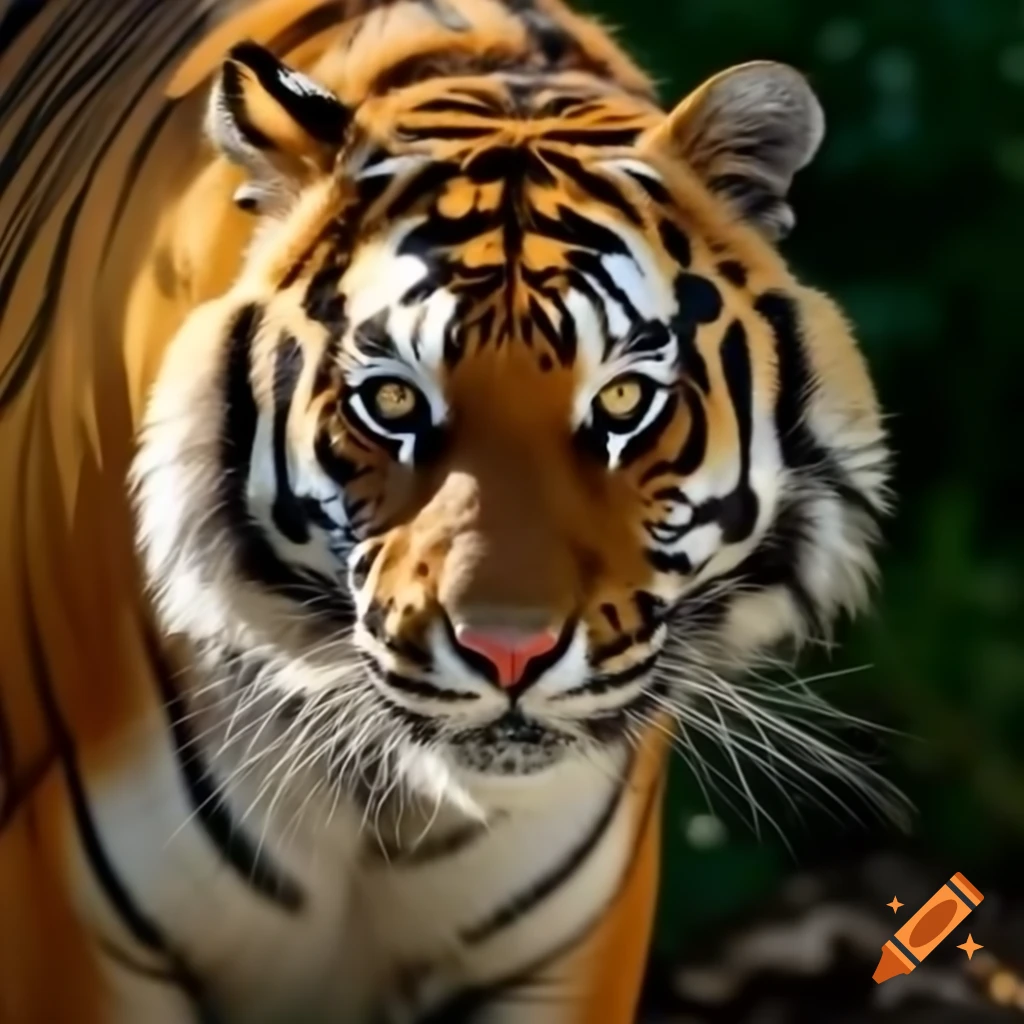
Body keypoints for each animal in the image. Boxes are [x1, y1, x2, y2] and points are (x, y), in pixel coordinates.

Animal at [0, 1, 893, 1022]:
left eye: (625, 400)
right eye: (392, 401)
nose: (509, 653)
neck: (387, 808)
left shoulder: (564, 960)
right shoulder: (80, 940)